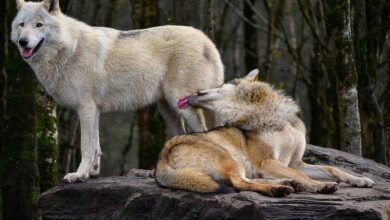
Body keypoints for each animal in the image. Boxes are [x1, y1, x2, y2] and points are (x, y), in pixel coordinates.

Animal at [11, 0, 222, 183]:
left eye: (39, 25)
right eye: (22, 25)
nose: (23, 42)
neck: (70, 48)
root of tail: (208, 42)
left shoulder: (86, 108)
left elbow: (86, 147)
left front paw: (78, 175)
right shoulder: (94, 111)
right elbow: (96, 146)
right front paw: (92, 173)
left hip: (183, 104)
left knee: (203, 134)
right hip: (168, 109)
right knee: (181, 136)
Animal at [156, 69, 374, 197]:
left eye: (220, 85)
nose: (193, 92)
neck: (268, 116)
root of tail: (161, 160)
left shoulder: (295, 162)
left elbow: (332, 169)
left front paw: (360, 180)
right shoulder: (267, 162)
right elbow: (304, 176)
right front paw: (320, 186)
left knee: (249, 180)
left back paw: (286, 183)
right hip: (230, 160)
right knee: (239, 183)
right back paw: (279, 188)